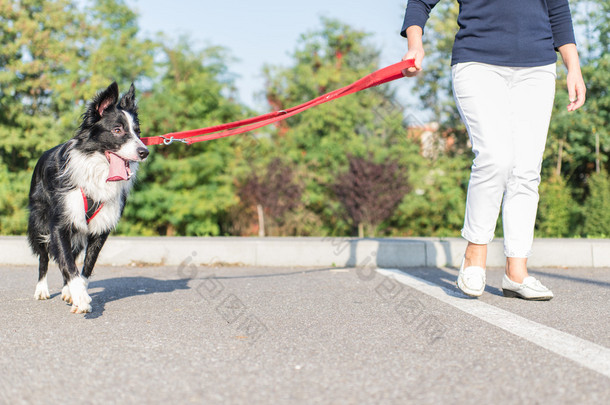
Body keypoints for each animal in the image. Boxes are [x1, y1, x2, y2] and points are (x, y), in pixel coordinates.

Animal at [27, 80, 149, 310]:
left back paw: (67, 291)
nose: (144, 152)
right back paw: (41, 289)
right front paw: (81, 298)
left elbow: (87, 264)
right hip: (39, 220)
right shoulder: (60, 222)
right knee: (44, 256)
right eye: (117, 130)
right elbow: (65, 260)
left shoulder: (100, 227)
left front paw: (77, 292)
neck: (98, 169)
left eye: (137, 132)